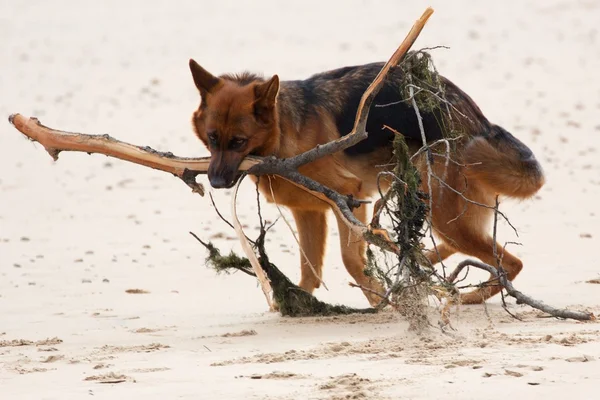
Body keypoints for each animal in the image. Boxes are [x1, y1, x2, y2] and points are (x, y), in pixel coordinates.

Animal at [188, 57, 544, 306]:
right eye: (212, 138)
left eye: (238, 142)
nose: (215, 182)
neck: (284, 130)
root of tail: (477, 122)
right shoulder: (309, 213)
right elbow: (309, 270)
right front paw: (299, 304)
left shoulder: (349, 198)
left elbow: (350, 261)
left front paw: (379, 300)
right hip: (446, 215)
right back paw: (418, 259)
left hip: (443, 215)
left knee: (511, 264)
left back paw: (467, 295)